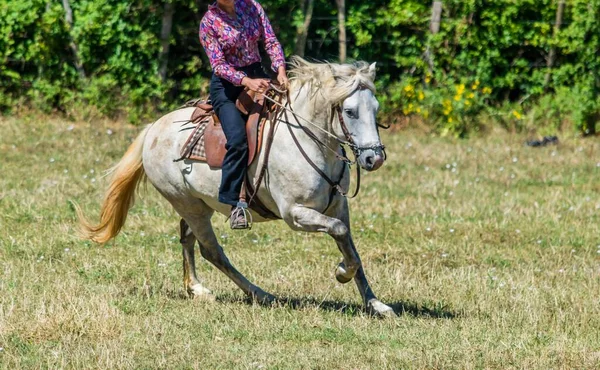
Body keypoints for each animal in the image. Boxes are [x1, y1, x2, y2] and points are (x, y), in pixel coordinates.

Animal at [79, 57, 396, 318]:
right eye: (350, 111)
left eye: (376, 108)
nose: (374, 158)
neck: (310, 142)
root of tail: (153, 129)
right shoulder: (295, 214)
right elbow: (341, 236)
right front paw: (341, 273)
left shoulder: (338, 207)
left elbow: (350, 246)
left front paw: (375, 304)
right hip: (188, 204)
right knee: (212, 251)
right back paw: (260, 294)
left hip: (197, 204)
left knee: (187, 238)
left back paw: (196, 288)